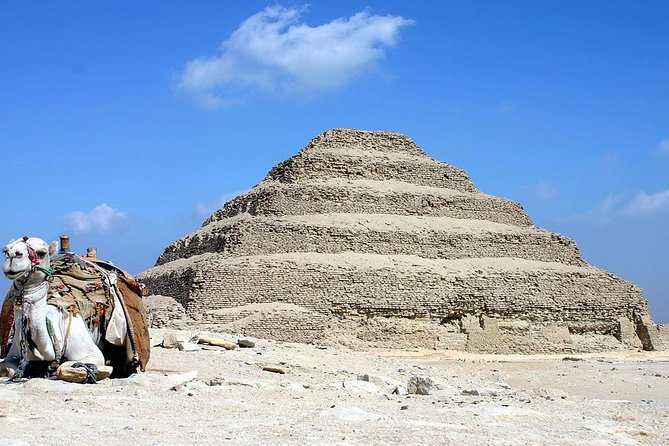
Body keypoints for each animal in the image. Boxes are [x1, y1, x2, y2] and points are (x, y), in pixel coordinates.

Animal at [0, 236, 149, 383]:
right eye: (5, 250)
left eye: (42, 253)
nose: (13, 256)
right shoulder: (12, 354)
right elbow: (7, 369)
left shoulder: (90, 351)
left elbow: (64, 368)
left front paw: (99, 371)